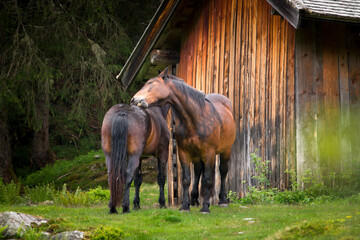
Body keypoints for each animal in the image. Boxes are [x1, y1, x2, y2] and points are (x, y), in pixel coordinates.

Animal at [131, 68, 236, 213]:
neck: (195, 118)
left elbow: (208, 180)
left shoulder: (209, 153)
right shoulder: (184, 153)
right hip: (197, 155)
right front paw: (185, 206)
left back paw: (223, 200)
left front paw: (205, 208)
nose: (133, 99)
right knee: (198, 171)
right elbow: (186, 179)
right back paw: (194, 199)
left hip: (226, 150)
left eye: (151, 83)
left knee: (223, 171)